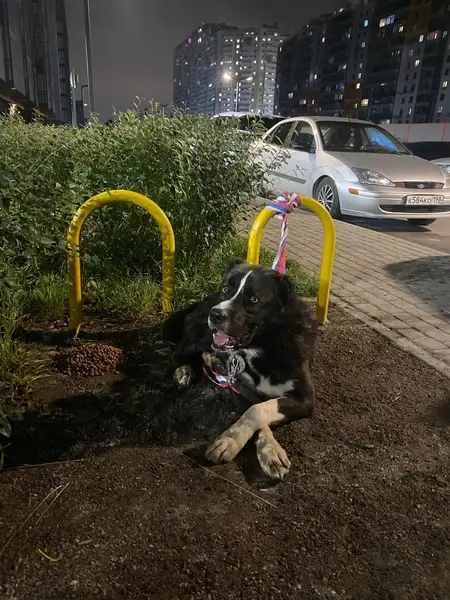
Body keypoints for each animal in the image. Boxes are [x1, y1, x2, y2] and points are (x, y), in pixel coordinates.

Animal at [162, 259, 317, 480]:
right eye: (226, 289)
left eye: (253, 299)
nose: (215, 315)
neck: (265, 346)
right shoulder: (239, 386)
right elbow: (253, 409)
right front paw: (234, 442)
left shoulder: (306, 399)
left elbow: (259, 409)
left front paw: (266, 450)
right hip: (201, 336)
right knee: (179, 351)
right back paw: (185, 370)